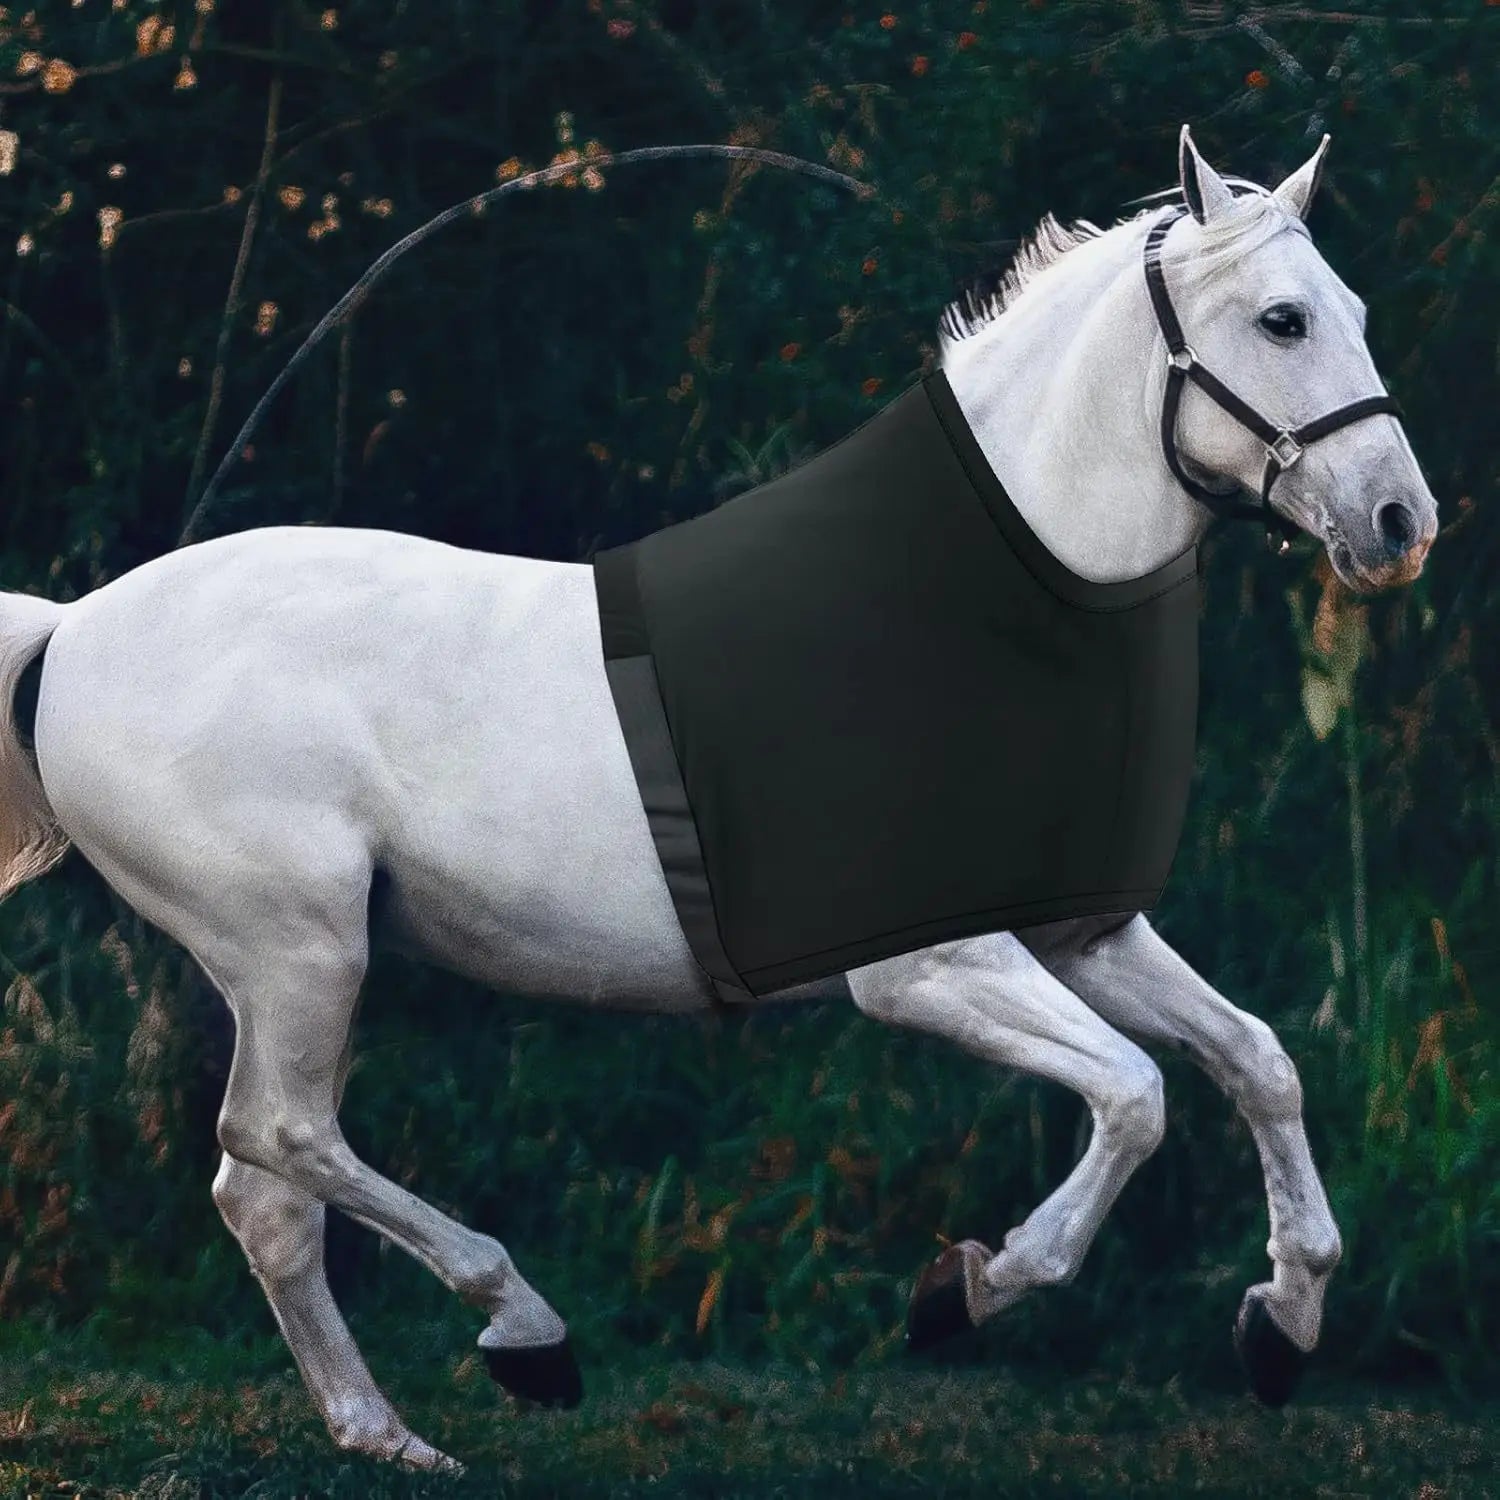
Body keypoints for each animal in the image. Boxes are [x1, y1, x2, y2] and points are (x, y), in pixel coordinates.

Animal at [0, 128, 1436, 1471]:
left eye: (1354, 309)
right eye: (1284, 319)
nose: (1399, 523)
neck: (979, 611)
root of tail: (73, 630)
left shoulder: (1082, 934)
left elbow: (1256, 1060)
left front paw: (1283, 1323)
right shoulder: (931, 971)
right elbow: (1137, 1097)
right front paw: (968, 1288)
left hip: (296, 967)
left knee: (264, 1191)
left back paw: (387, 1433)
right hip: (297, 952)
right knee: (281, 1136)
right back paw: (523, 1330)